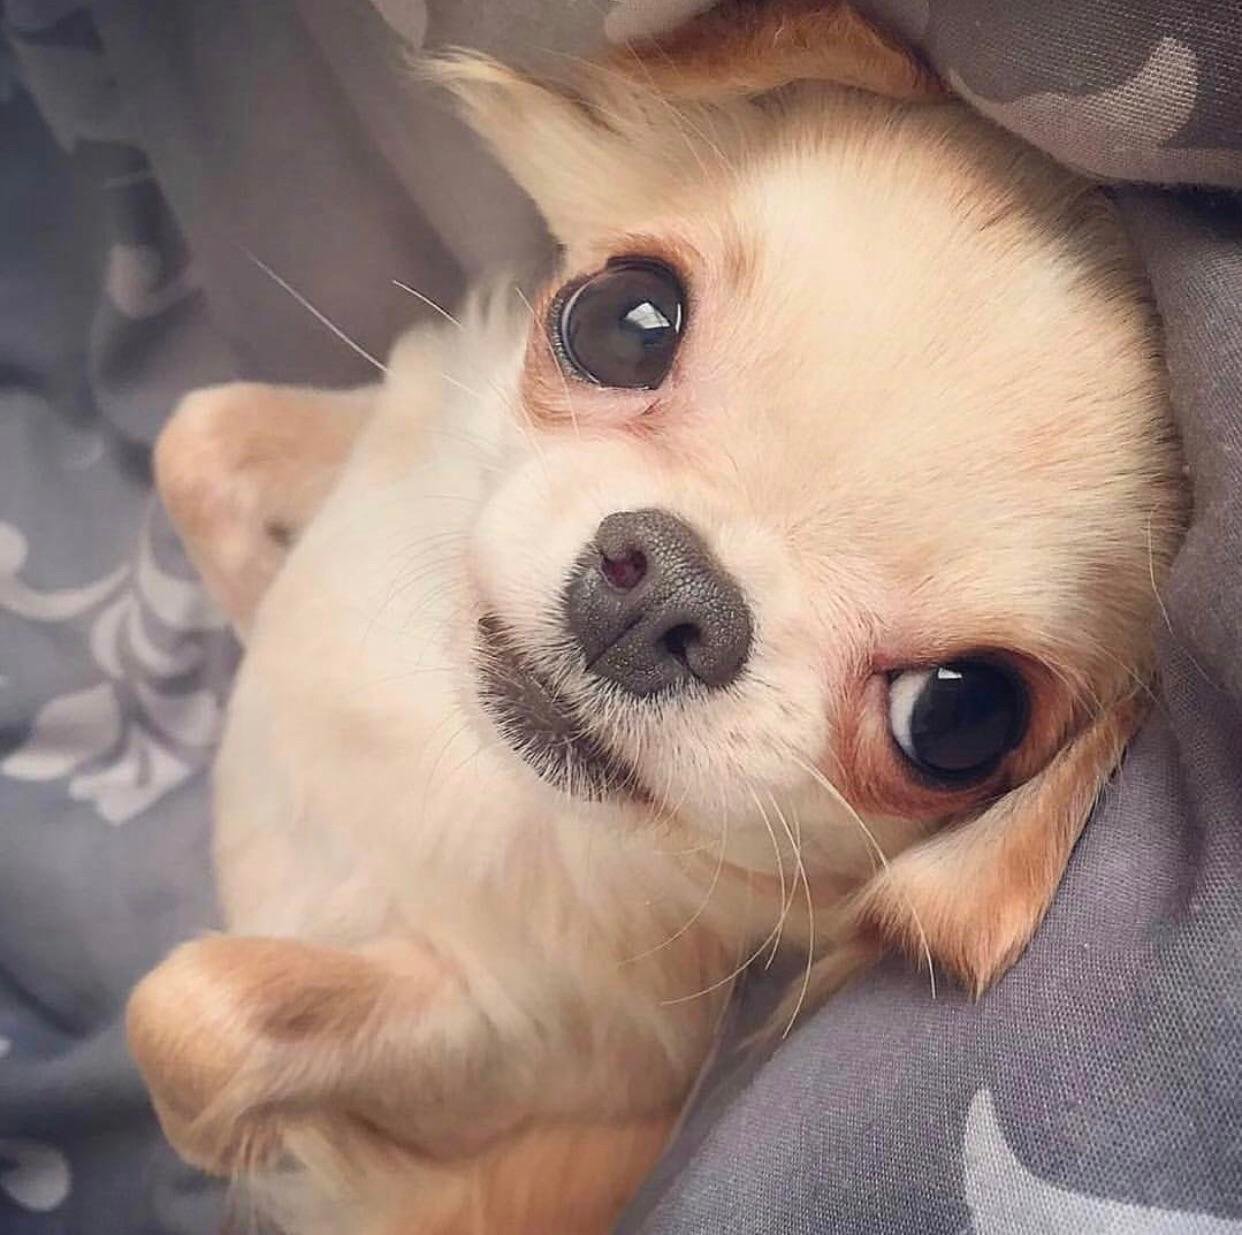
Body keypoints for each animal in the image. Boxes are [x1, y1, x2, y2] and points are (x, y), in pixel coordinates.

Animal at [123, 4, 1182, 1227]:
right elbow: (196, 438)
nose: (671, 593)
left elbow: (193, 1018)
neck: (483, 762)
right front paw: (260, 614)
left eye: (958, 718)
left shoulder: (560, 1047)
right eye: (627, 321)